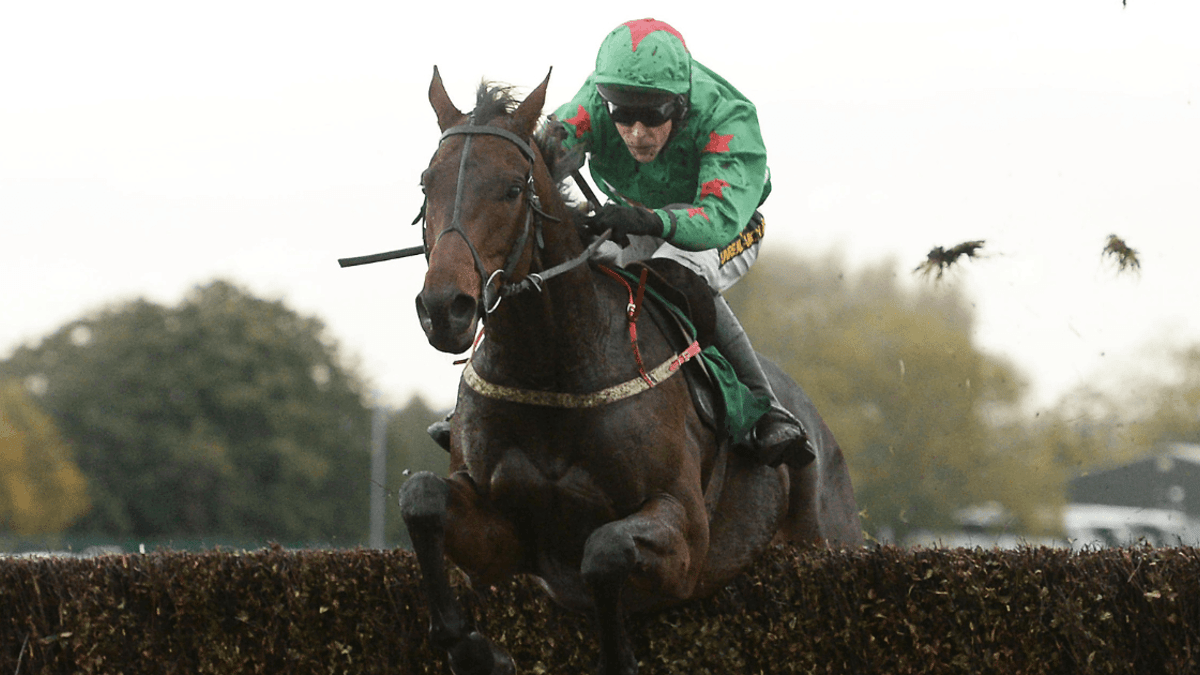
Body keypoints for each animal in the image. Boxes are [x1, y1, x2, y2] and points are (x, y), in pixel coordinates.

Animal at [399, 67, 863, 675]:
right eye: (426, 183)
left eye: (512, 188)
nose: (443, 307)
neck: (553, 366)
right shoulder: (507, 536)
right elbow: (421, 498)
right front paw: (475, 649)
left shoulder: (687, 537)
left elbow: (605, 550)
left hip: (826, 539)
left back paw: (777, 428)